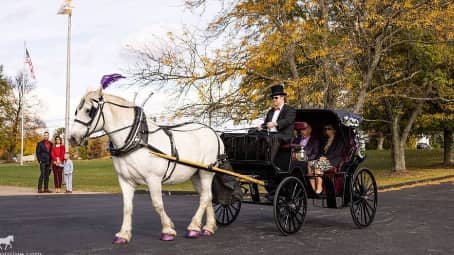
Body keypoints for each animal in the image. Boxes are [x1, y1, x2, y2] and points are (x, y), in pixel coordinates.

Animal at [69, 89, 223, 243]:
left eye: (89, 110)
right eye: (76, 111)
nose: (72, 138)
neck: (138, 139)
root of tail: (213, 132)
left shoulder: (153, 179)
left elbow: (157, 204)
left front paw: (167, 230)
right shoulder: (125, 180)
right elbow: (127, 207)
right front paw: (124, 234)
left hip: (206, 172)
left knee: (205, 197)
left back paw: (194, 227)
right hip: (196, 174)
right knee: (206, 196)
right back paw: (208, 227)